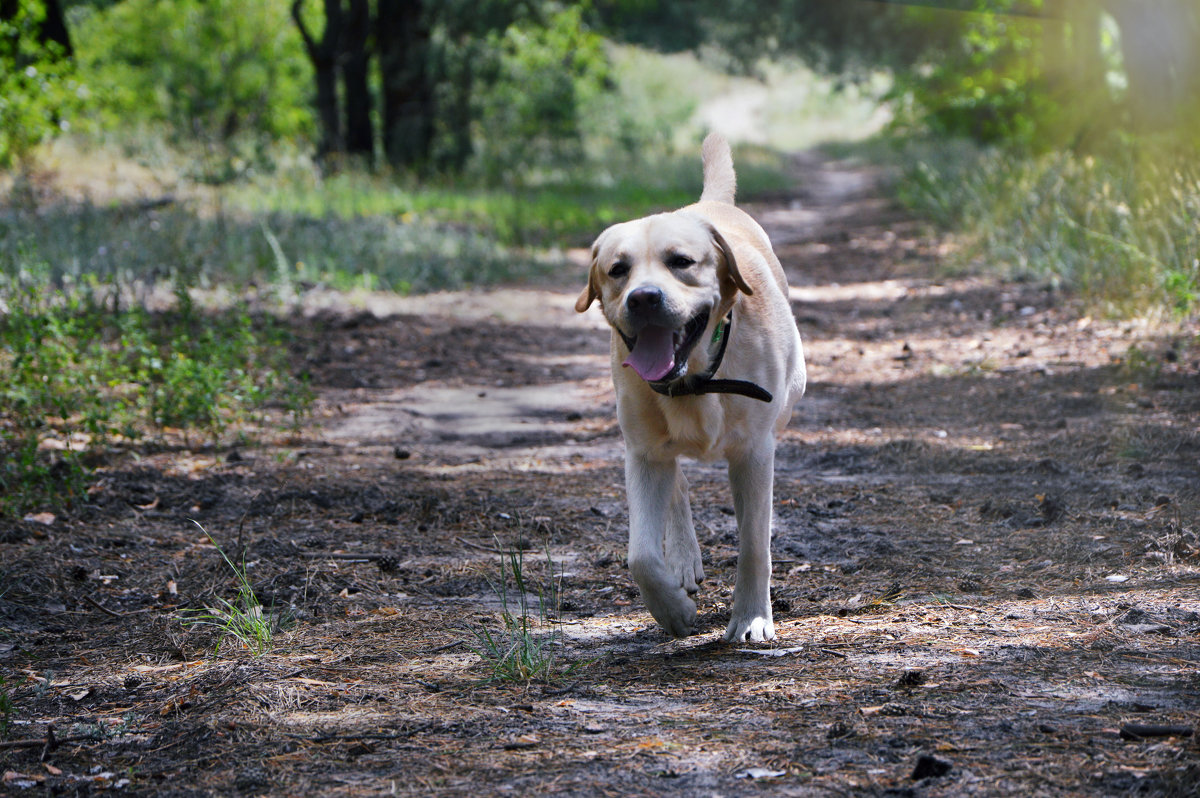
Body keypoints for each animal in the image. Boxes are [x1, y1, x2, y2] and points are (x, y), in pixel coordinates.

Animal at [573, 132, 806, 643]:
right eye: (617, 269)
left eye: (681, 262)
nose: (644, 298)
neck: (693, 379)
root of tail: (706, 205)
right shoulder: (643, 454)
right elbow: (641, 556)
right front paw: (673, 612)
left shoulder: (755, 452)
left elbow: (753, 543)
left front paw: (752, 617)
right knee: (676, 483)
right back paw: (682, 561)